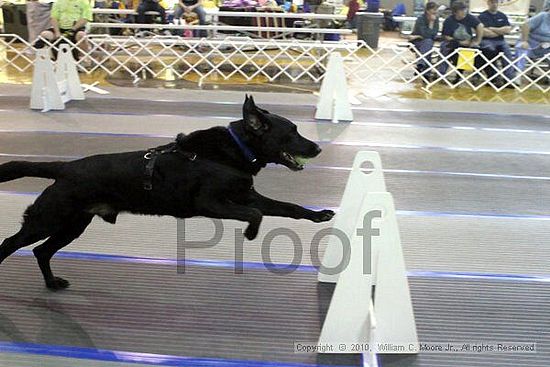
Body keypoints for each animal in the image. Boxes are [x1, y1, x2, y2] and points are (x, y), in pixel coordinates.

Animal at [0, 96, 336, 292]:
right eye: (291, 132)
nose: (318, 149)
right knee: (10, 244)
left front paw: (320, 214)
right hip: (49, 219)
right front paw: (251, 234)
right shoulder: (211, 202)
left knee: (41, 251)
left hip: (73, 224)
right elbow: (255, 215)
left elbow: (289, 207)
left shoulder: (246, 196)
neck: (232, 152)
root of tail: (65, 167)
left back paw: (52, 283)